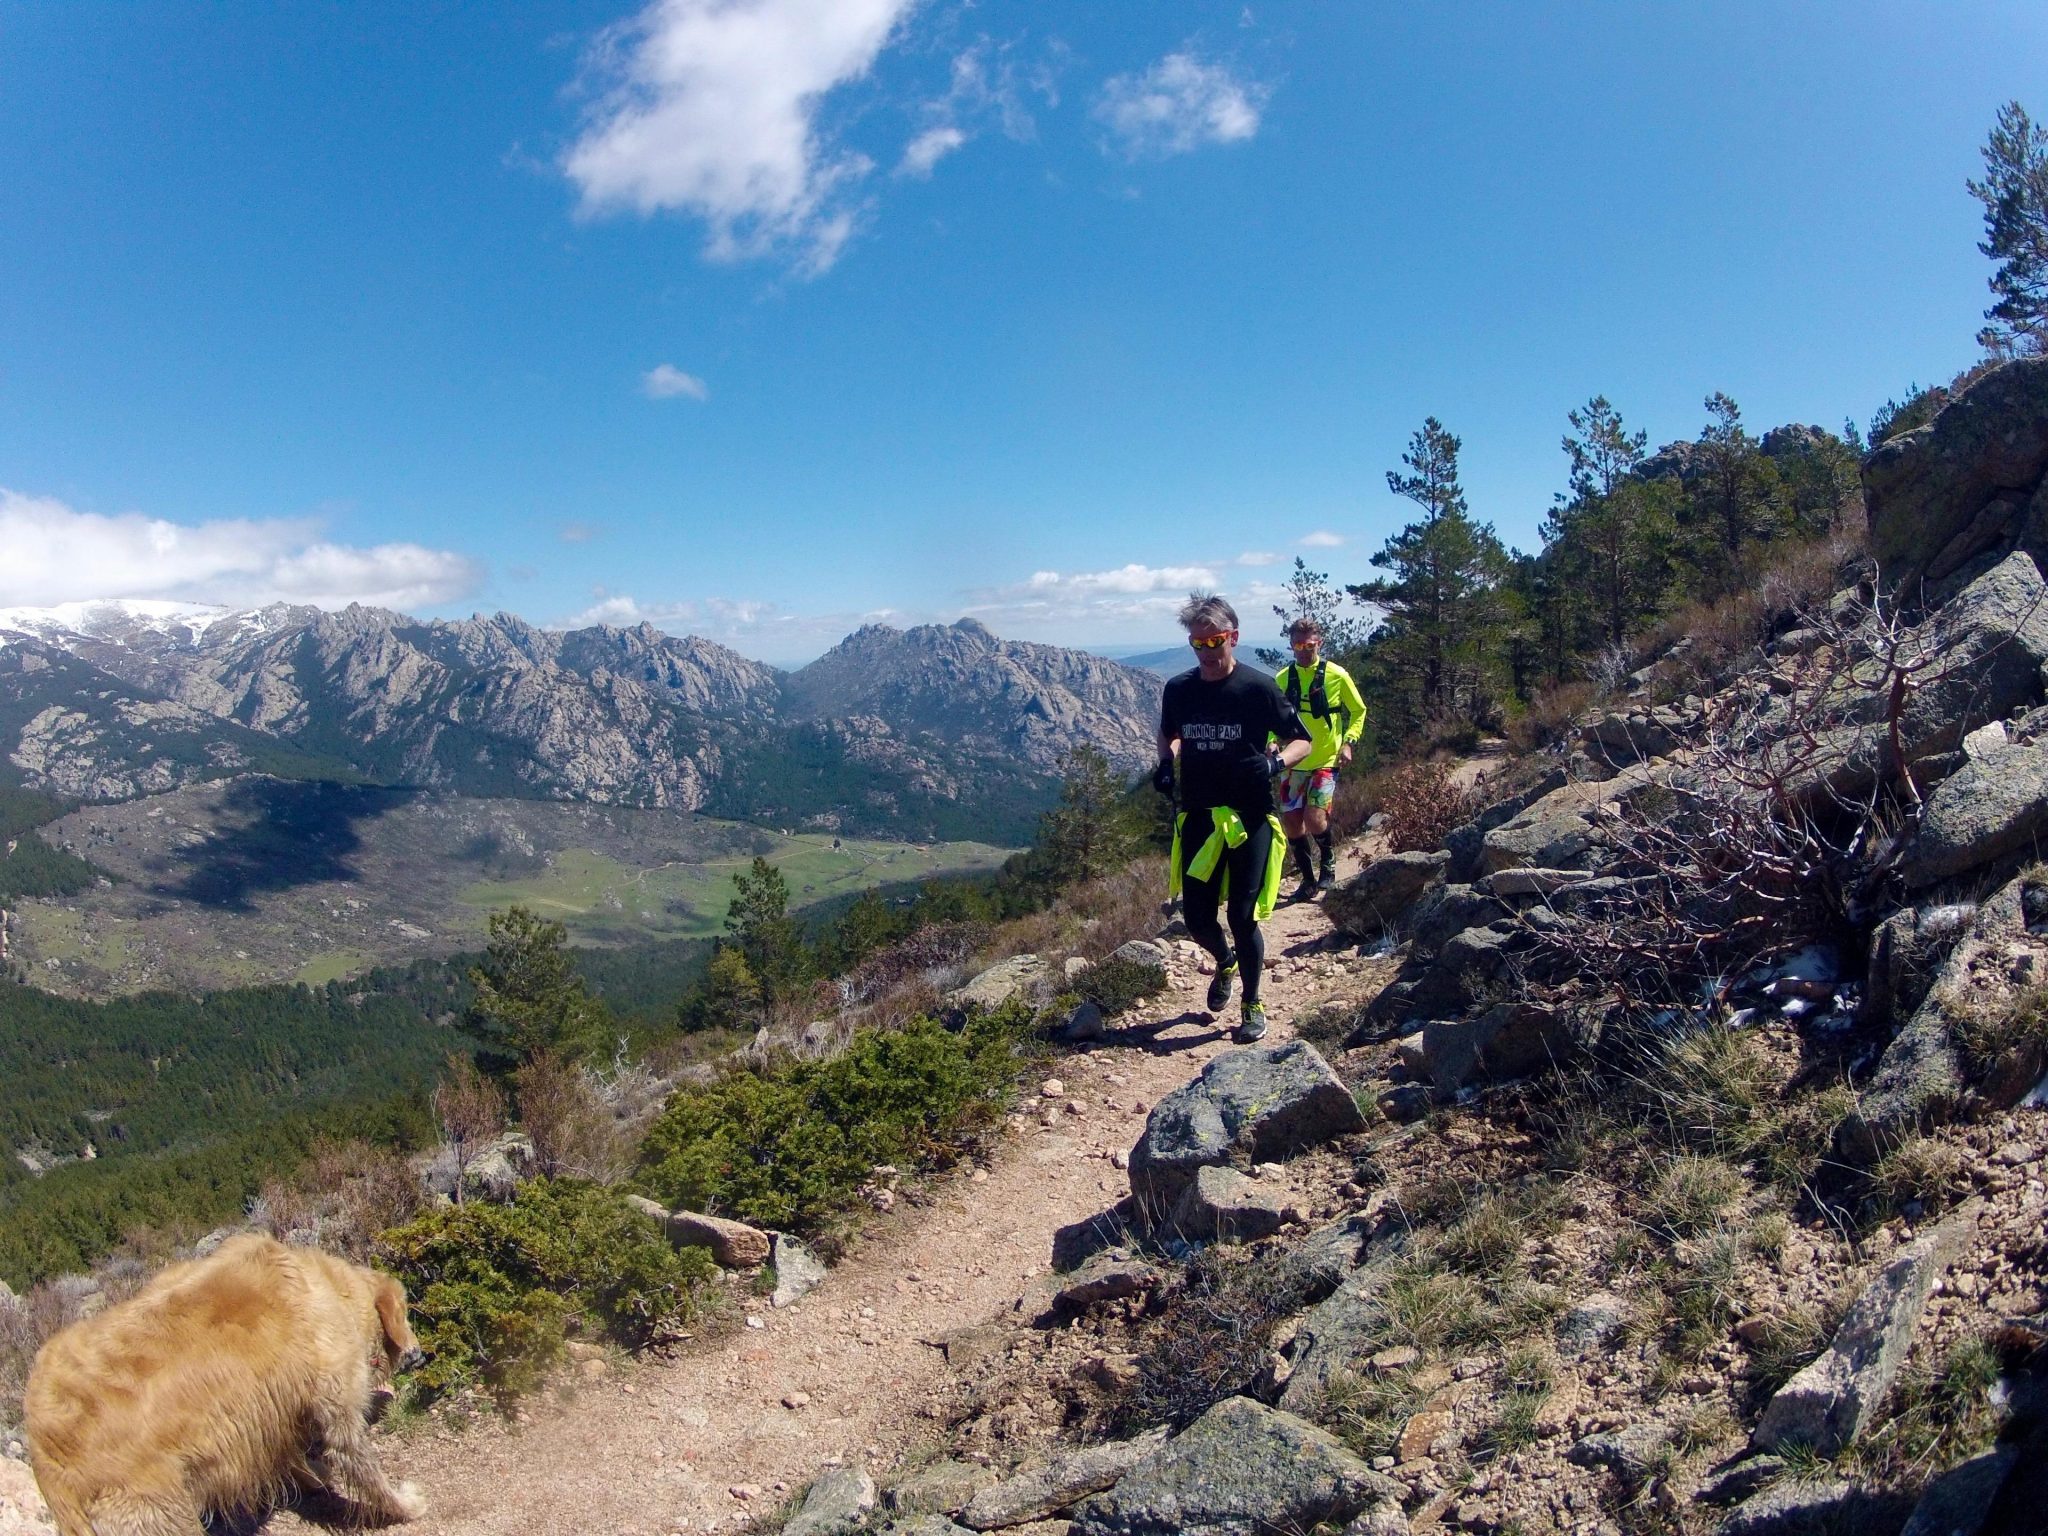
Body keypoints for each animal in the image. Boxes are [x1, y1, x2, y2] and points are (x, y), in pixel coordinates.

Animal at [24, 1236, 423, 1536]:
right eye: (406, 1313)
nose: (420, 1354)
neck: (325, 1285)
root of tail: (44, 1451)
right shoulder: (336, 1401)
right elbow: (365, 1468)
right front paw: (405, 1505)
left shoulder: (273, 1412)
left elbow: (290, 1455)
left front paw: (312, 1476)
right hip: (163, 1515)